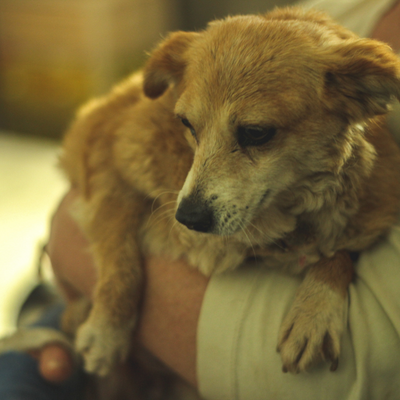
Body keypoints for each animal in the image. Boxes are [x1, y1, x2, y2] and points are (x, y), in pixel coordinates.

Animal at [0, 5, 400, 382]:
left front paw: (314, 312)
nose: (187, 218)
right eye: (187, 124)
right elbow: (120, 255)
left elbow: (339, 254)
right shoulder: (105, 161)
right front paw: (107, 330)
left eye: (256, 132)